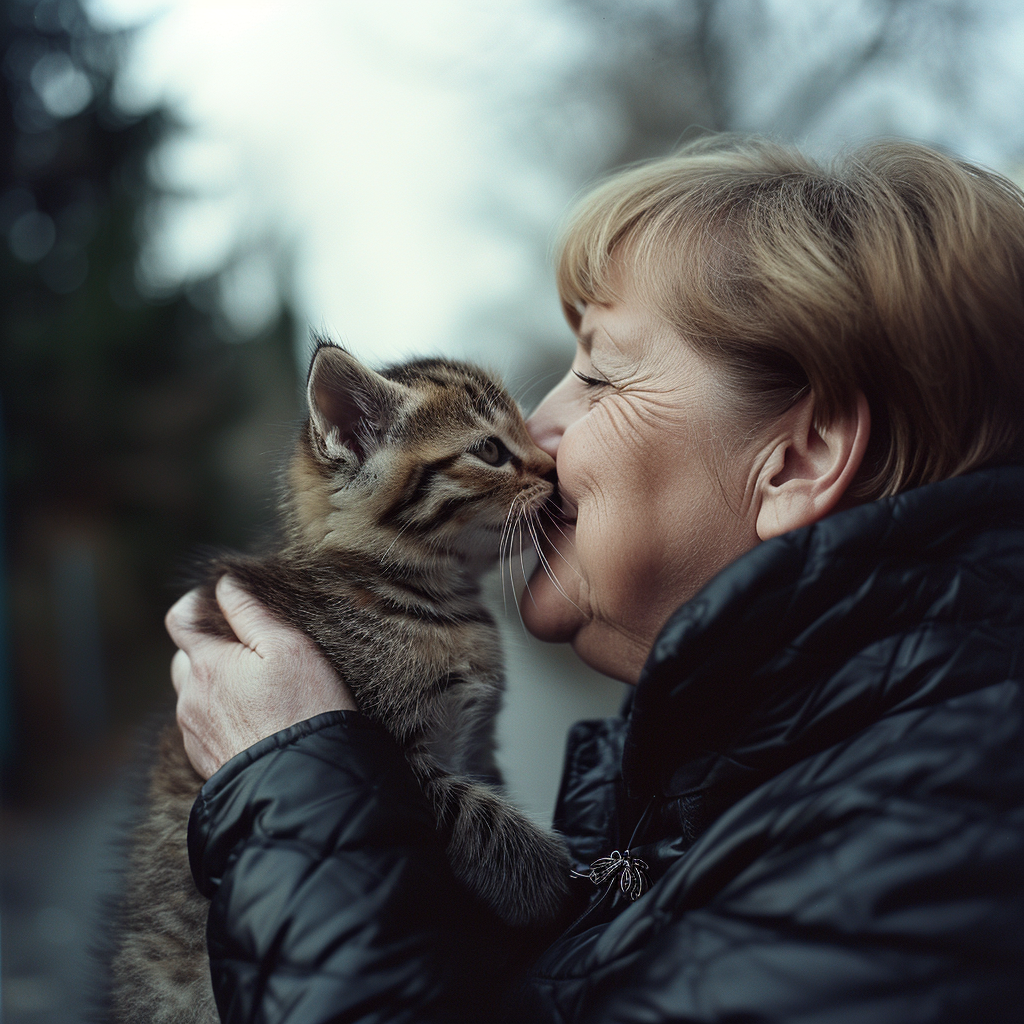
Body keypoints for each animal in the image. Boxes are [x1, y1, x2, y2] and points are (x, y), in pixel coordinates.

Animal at [113, 342, 577, 1024]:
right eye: (491, 451)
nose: (554, 470)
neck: (430, 599)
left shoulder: (477, 742)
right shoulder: (396, 755)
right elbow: (474, 811)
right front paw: (549, 878)